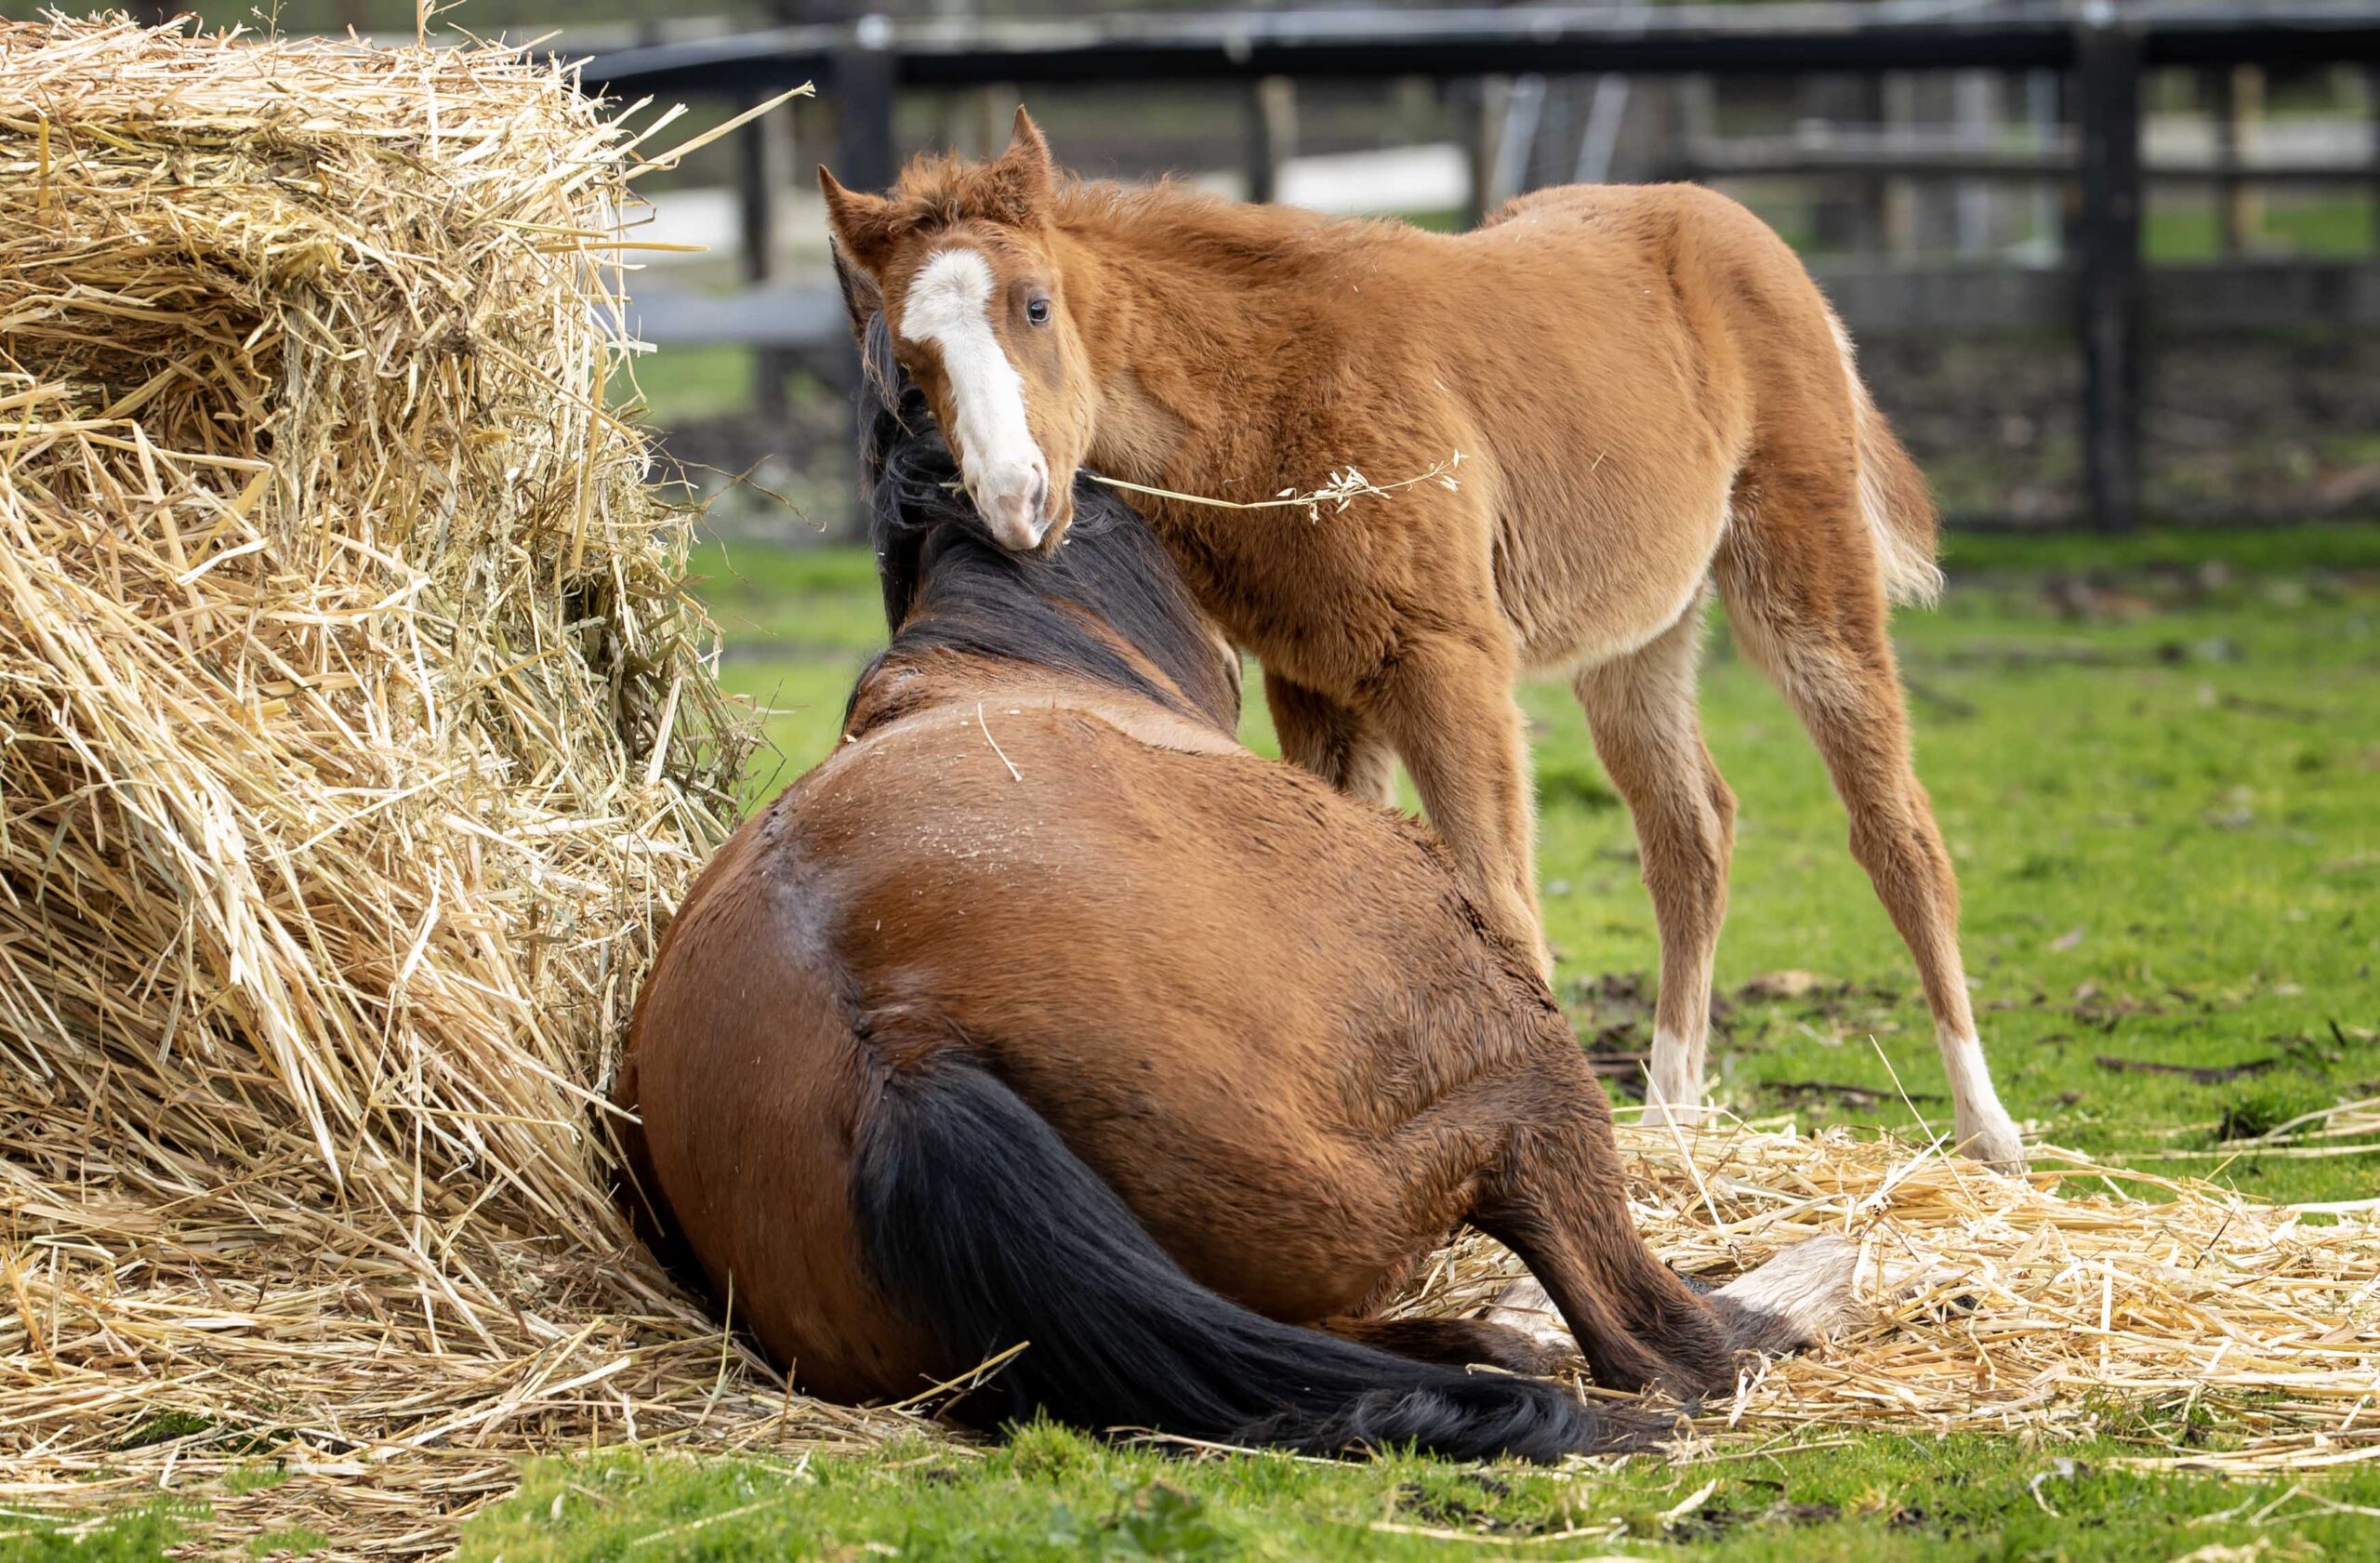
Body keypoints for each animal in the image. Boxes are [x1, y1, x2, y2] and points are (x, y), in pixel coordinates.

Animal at [815, 110, 2025, 1167]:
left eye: (1034, 306)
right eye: (911, 362)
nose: (1015, 502)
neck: (1262, 392)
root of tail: (1741, 228)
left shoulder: (1450, 660)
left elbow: (1503, 906)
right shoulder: (1313, 676)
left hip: (1803, 575)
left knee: (1895, 828)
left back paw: (1987, 1133)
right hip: (1637, 631)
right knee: (1690, 831)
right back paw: (1673, 1120)